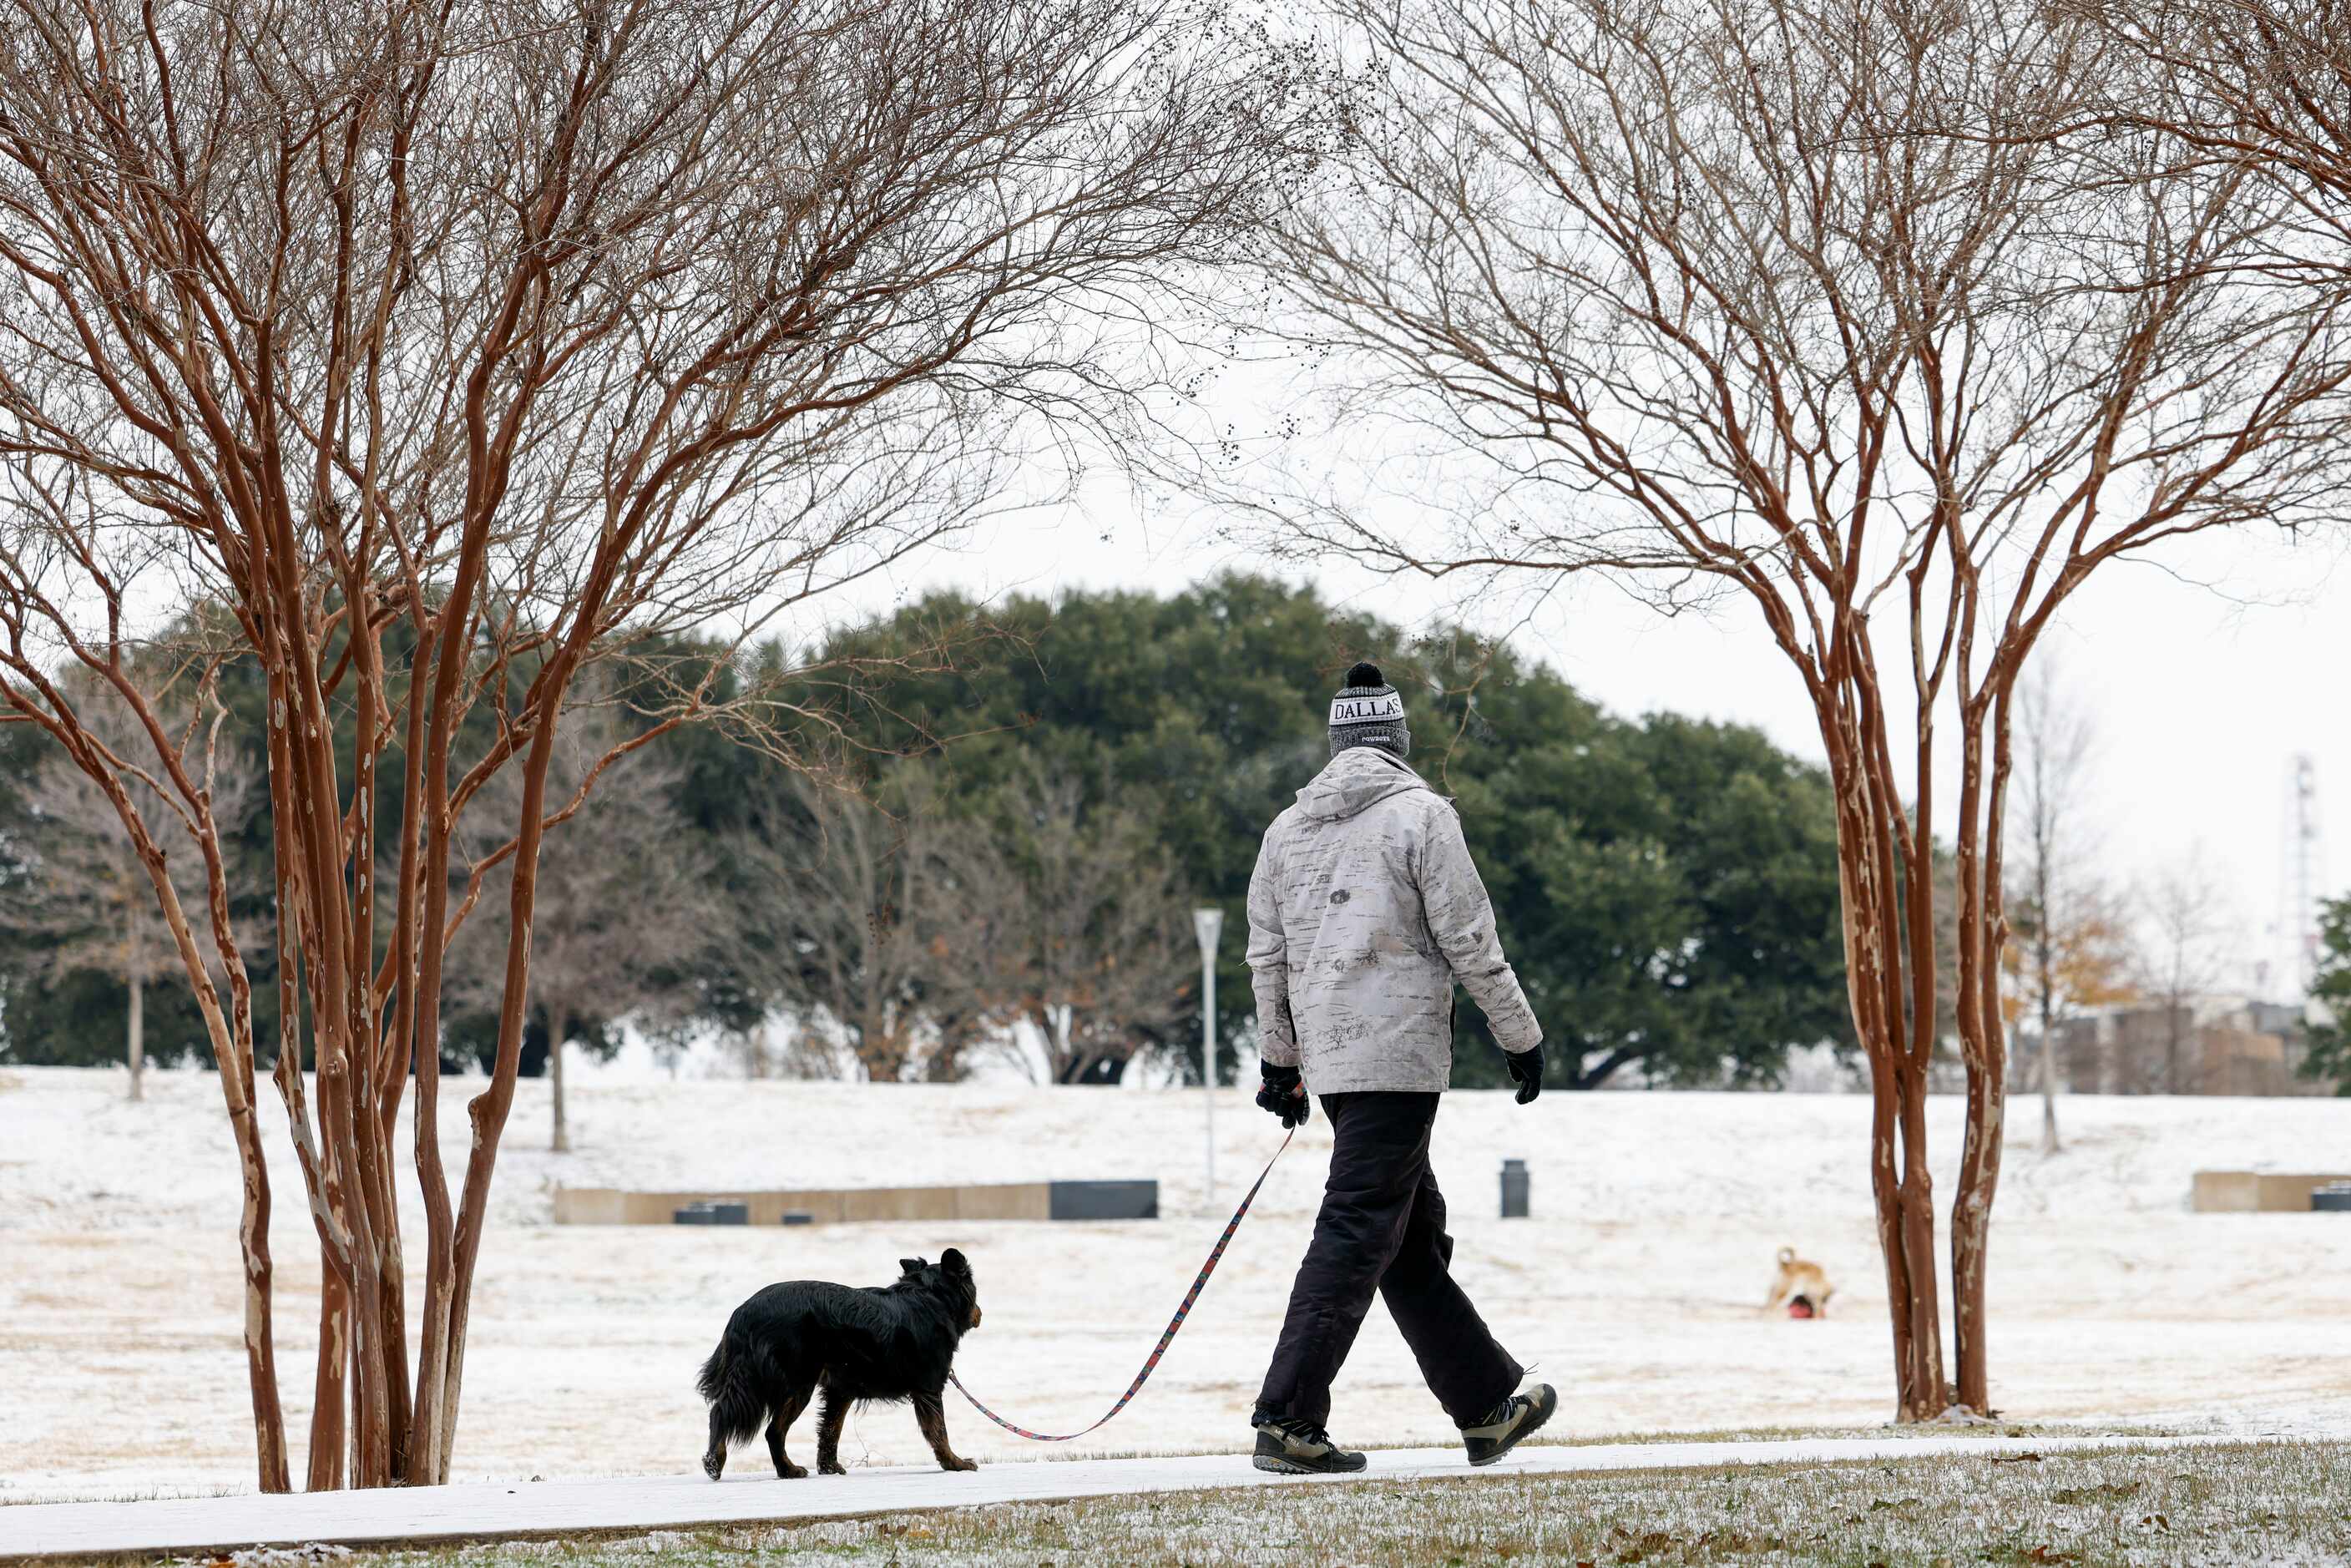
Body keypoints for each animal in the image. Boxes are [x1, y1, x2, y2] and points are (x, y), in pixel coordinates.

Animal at [700, 1250, 987, 1485]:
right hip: (796, 1383)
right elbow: (939, 1431)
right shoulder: (929, 1389)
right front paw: (955, 1463)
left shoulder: (840, 1390)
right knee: (762, 1427)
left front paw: (829, 1468)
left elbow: (830, 1431)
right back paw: (736, 1463)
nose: (980, 1314)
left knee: (737, 1417)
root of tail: (743, 1313)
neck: (931, 1296)